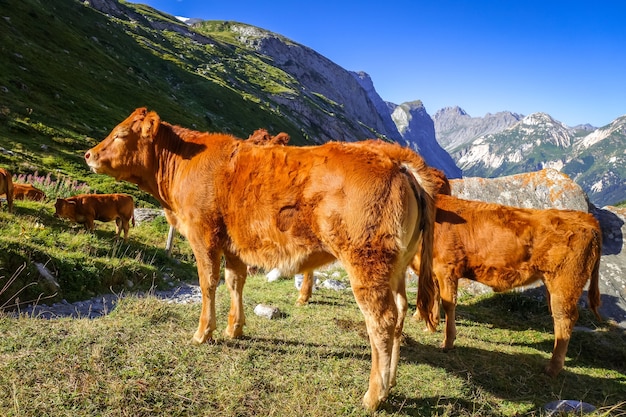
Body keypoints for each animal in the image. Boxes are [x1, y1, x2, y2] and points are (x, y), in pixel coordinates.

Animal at [83, 107, 436, 410]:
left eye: (121, 134)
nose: (89, 154)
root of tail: (396, 162)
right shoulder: (234, 245)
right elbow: (234, 282)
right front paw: (234, 328)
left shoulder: (203, 235)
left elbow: (207, 283)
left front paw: (203, 333)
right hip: (396, 267)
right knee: (400, 313)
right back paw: (390, 383)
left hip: (366, 262)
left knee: (381, 321)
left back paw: (374, 395)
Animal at [410, 193, 600, 376]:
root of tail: (587, 218)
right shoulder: (433, 271)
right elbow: (434, 296)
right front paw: (431, 326)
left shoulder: (446, 268)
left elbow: (448, 304)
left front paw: (447, 342)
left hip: (565, 284)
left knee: (564, 318)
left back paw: (553, 368)